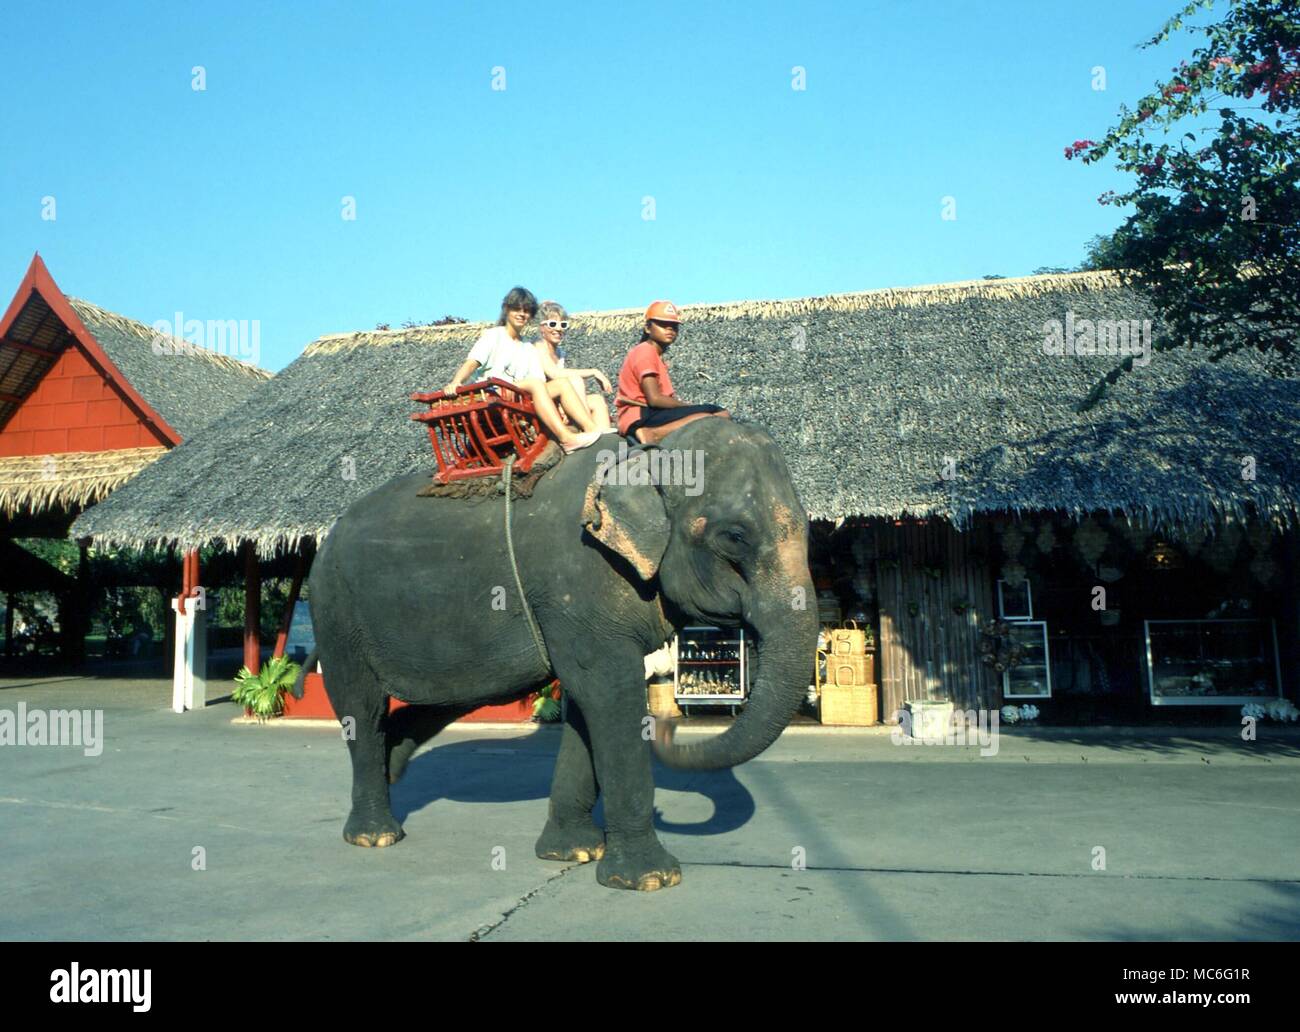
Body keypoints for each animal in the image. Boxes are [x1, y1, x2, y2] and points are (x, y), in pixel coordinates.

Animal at [299, 413, 816, 889]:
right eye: (735, 537)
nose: (671, 726)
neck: (648, 455)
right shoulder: (579, 581)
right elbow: (610, 695)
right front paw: (650, 879)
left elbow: (586, 706)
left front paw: (574, 852)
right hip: (335, 610)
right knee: (361, 707)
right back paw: (375, 834)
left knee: (450, 695)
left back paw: (394, 760)